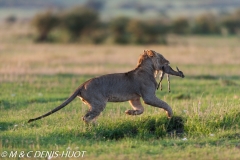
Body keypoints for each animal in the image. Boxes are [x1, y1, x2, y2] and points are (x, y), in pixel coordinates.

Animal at [28, 50, 186, 124]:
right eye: (162, 57)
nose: (168, 62)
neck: (147, 68)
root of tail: (82, 85)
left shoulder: (135, 98)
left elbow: (140, 109)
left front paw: (129, 112)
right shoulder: (148, 96)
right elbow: (163, 103)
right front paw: (170, 114)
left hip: (95, 104)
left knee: (86, 116)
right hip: (99, 103)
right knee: (85, 117)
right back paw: (93, 126)